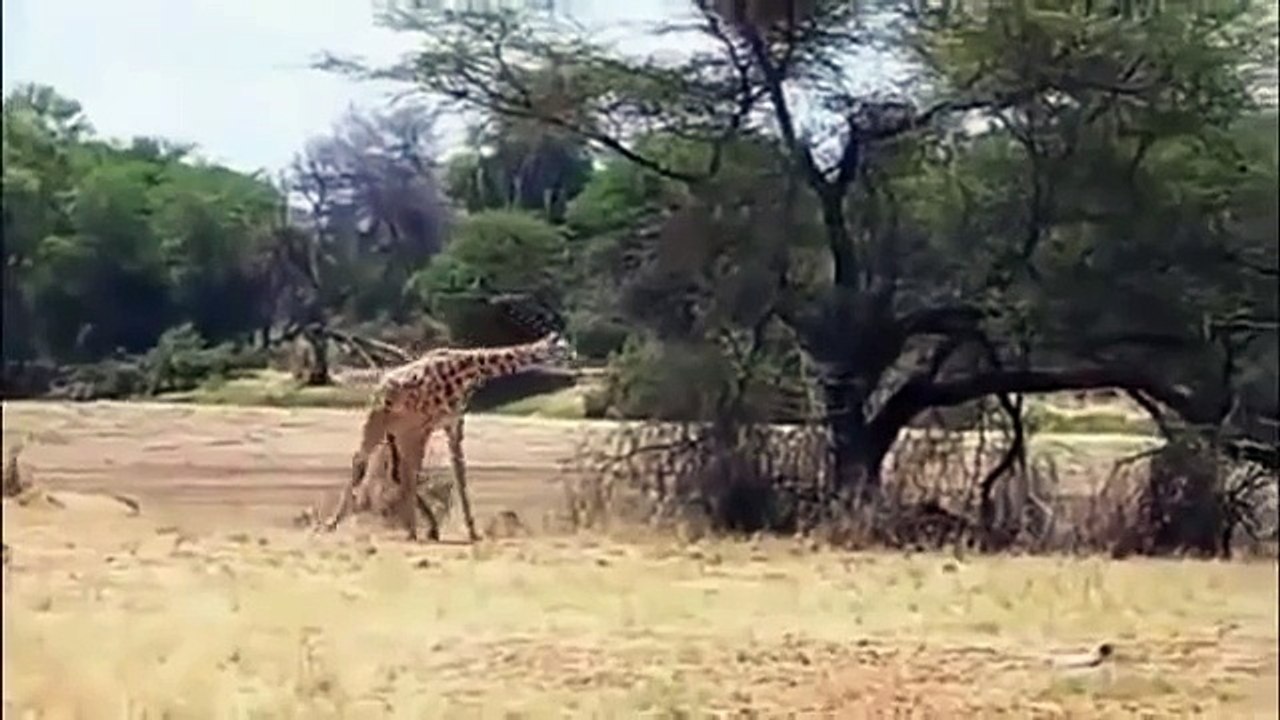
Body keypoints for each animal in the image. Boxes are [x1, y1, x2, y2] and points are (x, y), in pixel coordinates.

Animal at [320, 331, 577, 542]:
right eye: (562, 349)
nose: (575, 363)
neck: (468, 369)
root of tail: (380, 386)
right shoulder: (426, 424)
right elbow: (423, 474)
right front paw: (421, 530)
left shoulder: (453, 425)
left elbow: (459, 474)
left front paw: (473, 532)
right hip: (381, 422)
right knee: (364, 460)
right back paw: (335, 523)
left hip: (399, 433)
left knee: (399, 473)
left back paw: (423, 527)